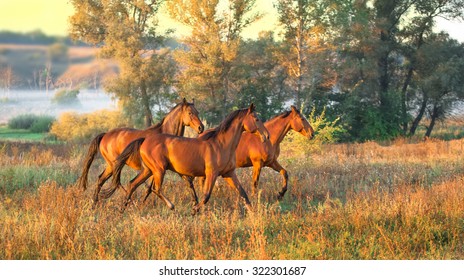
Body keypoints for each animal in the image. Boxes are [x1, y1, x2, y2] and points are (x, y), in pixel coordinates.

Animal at [75, 98, 203, 206]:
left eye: (198, 112)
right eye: (190, 113)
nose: (201, 128)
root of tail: (105, 135)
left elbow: (187, 181)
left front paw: (195, 202)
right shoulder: (155, 169)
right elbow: (150, 188)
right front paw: (143, 203)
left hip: (112, 165)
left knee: (101, 179)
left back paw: (94, 203)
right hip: (114, 165)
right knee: (116, 182)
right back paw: (130, 202)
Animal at [100, 104, 268, 213]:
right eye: (256, 118)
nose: (266, 136)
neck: (221, 144)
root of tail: (144, 140)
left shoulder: (228, 173)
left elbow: (243, 194)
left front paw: (253, 213)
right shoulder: (211, 174)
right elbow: (206, 196)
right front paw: (194, 210)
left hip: (148, 170)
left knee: (132, 184)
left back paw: (123, 208)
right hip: (159, 170)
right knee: (155, 188)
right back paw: (171, 206)